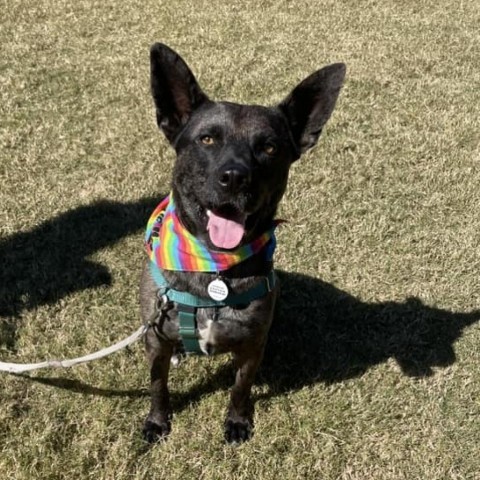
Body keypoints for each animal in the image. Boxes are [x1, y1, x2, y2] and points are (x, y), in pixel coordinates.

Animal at [139, 43, 344, 444]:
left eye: (269, 148)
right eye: (207, 139)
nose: (234, 177)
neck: (213, 267)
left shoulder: (250, 348)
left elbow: (240, 387)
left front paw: (236, 421)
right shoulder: (155, 342)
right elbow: (158, 385)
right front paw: (157, 421)